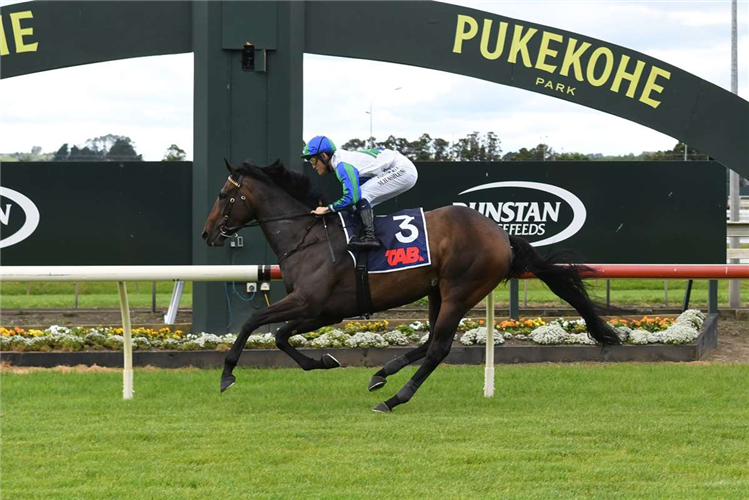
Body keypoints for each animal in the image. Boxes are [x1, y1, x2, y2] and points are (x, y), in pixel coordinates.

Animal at [201, 159, 621, 412]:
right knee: (430, 339)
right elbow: (277, 335)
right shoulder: (319, 310)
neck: (309, 236)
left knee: (438, 348)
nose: (207, 234)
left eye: (223, 195)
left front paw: (227, 375)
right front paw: (322, 361)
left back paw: (394, 398)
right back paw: (382, 374)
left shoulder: (312, 304)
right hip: (437, 290)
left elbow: (256, 326)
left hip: (460, 290)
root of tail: (502, 235)